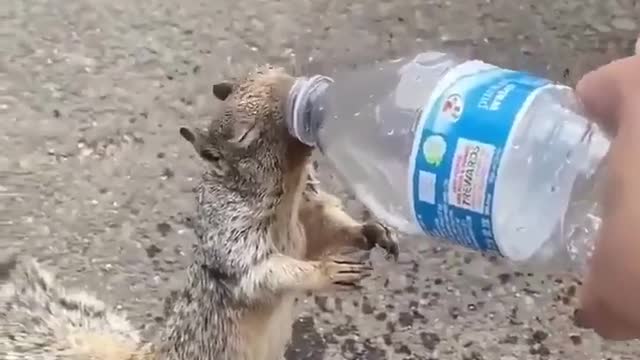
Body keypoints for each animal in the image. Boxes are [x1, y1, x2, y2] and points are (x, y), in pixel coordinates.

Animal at [0, 64, 398, 360]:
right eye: (244, 136)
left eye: (270, 70)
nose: (300, 94)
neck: (287, 196)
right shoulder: (234, 238)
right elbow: (264, 273)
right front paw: (328, 271)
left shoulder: (308, 216)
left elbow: (329, 229)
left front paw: (373, 231)